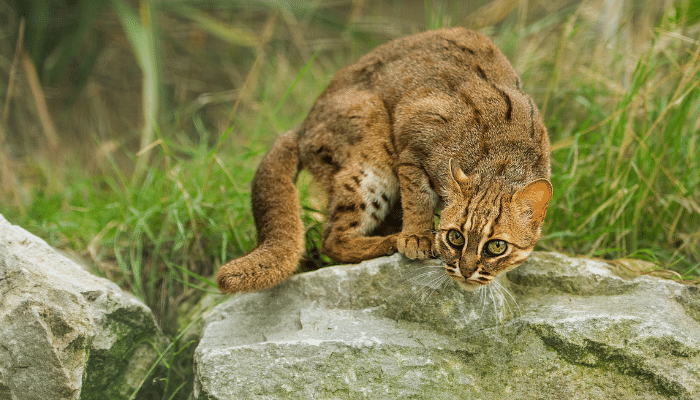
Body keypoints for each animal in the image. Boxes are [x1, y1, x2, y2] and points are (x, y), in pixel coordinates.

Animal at [219, 26, 552, 292]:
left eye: (497, 246)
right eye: (455, 237)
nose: (467, 271)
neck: (502, 162)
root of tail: (302, 126)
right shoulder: (413, 134)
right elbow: (417, 196)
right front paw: (417, 236)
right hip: (373, 145)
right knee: (331, 239)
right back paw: (392, 241)